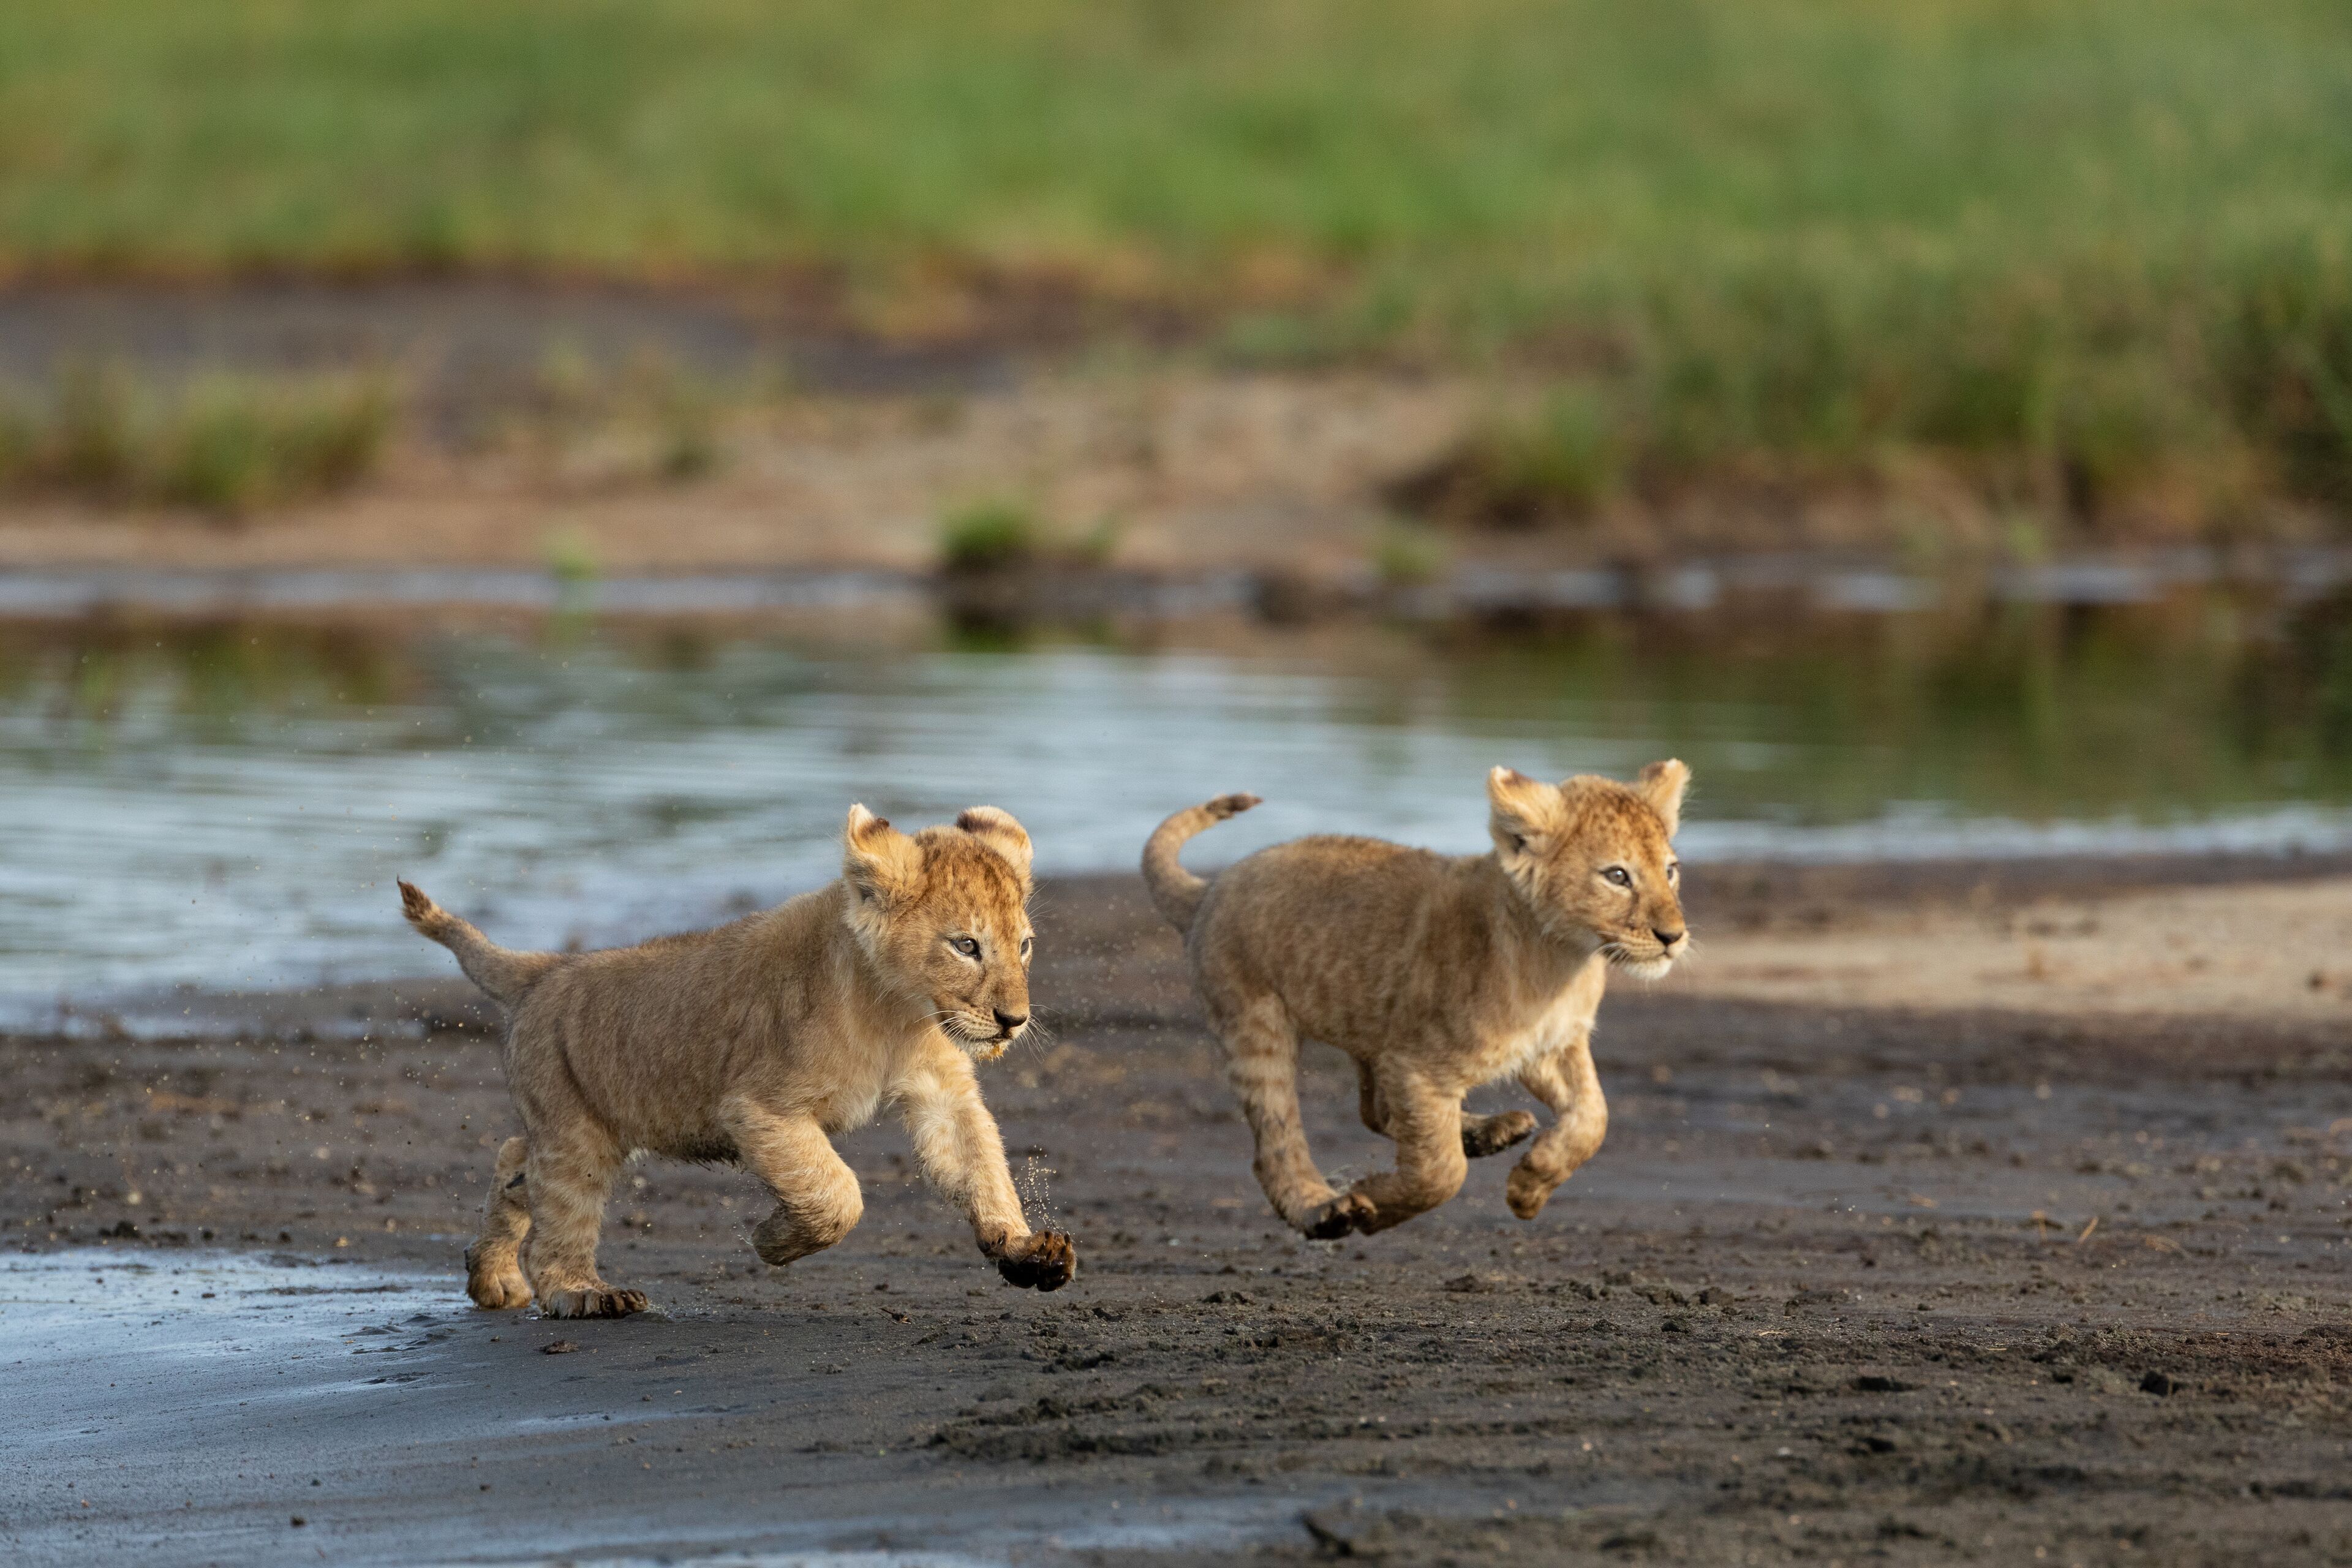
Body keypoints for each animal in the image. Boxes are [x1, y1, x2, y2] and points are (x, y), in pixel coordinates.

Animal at [399, 803, 1075, 1318]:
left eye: (1024, 946)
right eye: (966, 946)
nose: (1014, 1020)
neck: (900, 1013)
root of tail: (544, 969)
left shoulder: (942, 1090)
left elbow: (979, 1164)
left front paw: (1025, 1249)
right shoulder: (757, 1108)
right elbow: (838, 1192)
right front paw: (772, 1241)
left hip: (577, 1124)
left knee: (516, 1162)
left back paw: (491, 1277)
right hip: (577, 1133)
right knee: (557, 1214)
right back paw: (585, 1293)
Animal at [1140, 762, 1689, 1238]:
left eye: (1670, 871)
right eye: (1617, 876)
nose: (1674, 936)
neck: (1561, 959)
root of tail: (1210, 889)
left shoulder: (1550, 1046)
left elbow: (1594, 1117)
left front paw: (1529, 1186)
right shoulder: (1418, 1066)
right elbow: (1441, 1172)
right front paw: (1373, 1205)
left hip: (1374, 1026)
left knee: (1376, 1112)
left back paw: (1494, 1131)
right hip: (1258, 1026)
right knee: (1278, 1141)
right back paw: (1324, 1211)